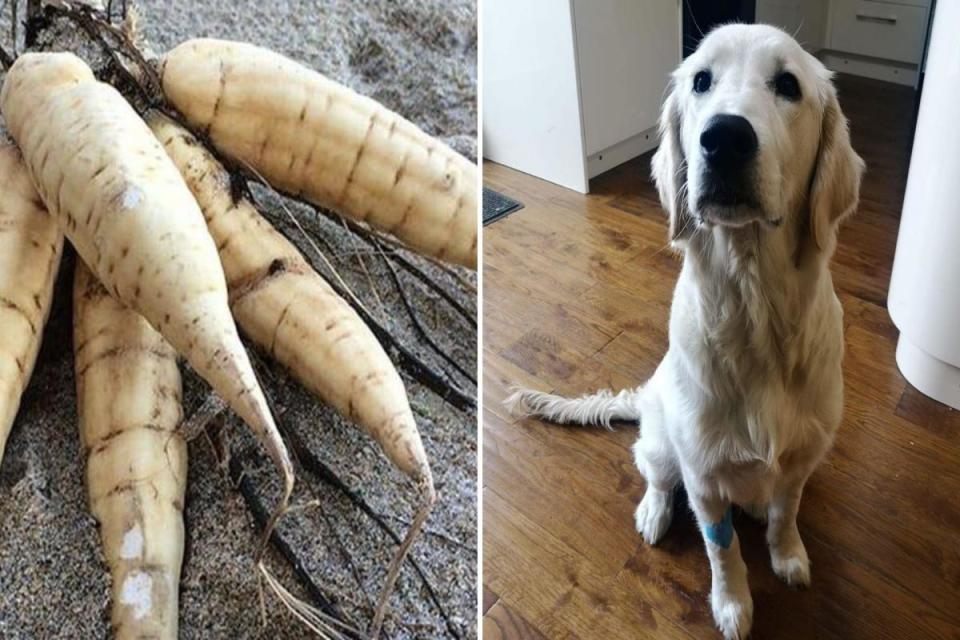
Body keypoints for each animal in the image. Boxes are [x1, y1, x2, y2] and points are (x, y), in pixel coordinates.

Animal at [506, 22, 868, 636]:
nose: (724, 138)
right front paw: (733, 604)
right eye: (701, 81)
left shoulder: (802, 459)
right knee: (653, 472)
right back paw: (653, 510)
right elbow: (722, 549)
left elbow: (787, 512)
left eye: (788, 85)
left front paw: (788, 555)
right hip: (661, 443)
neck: (754, 308)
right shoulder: (703, 477)